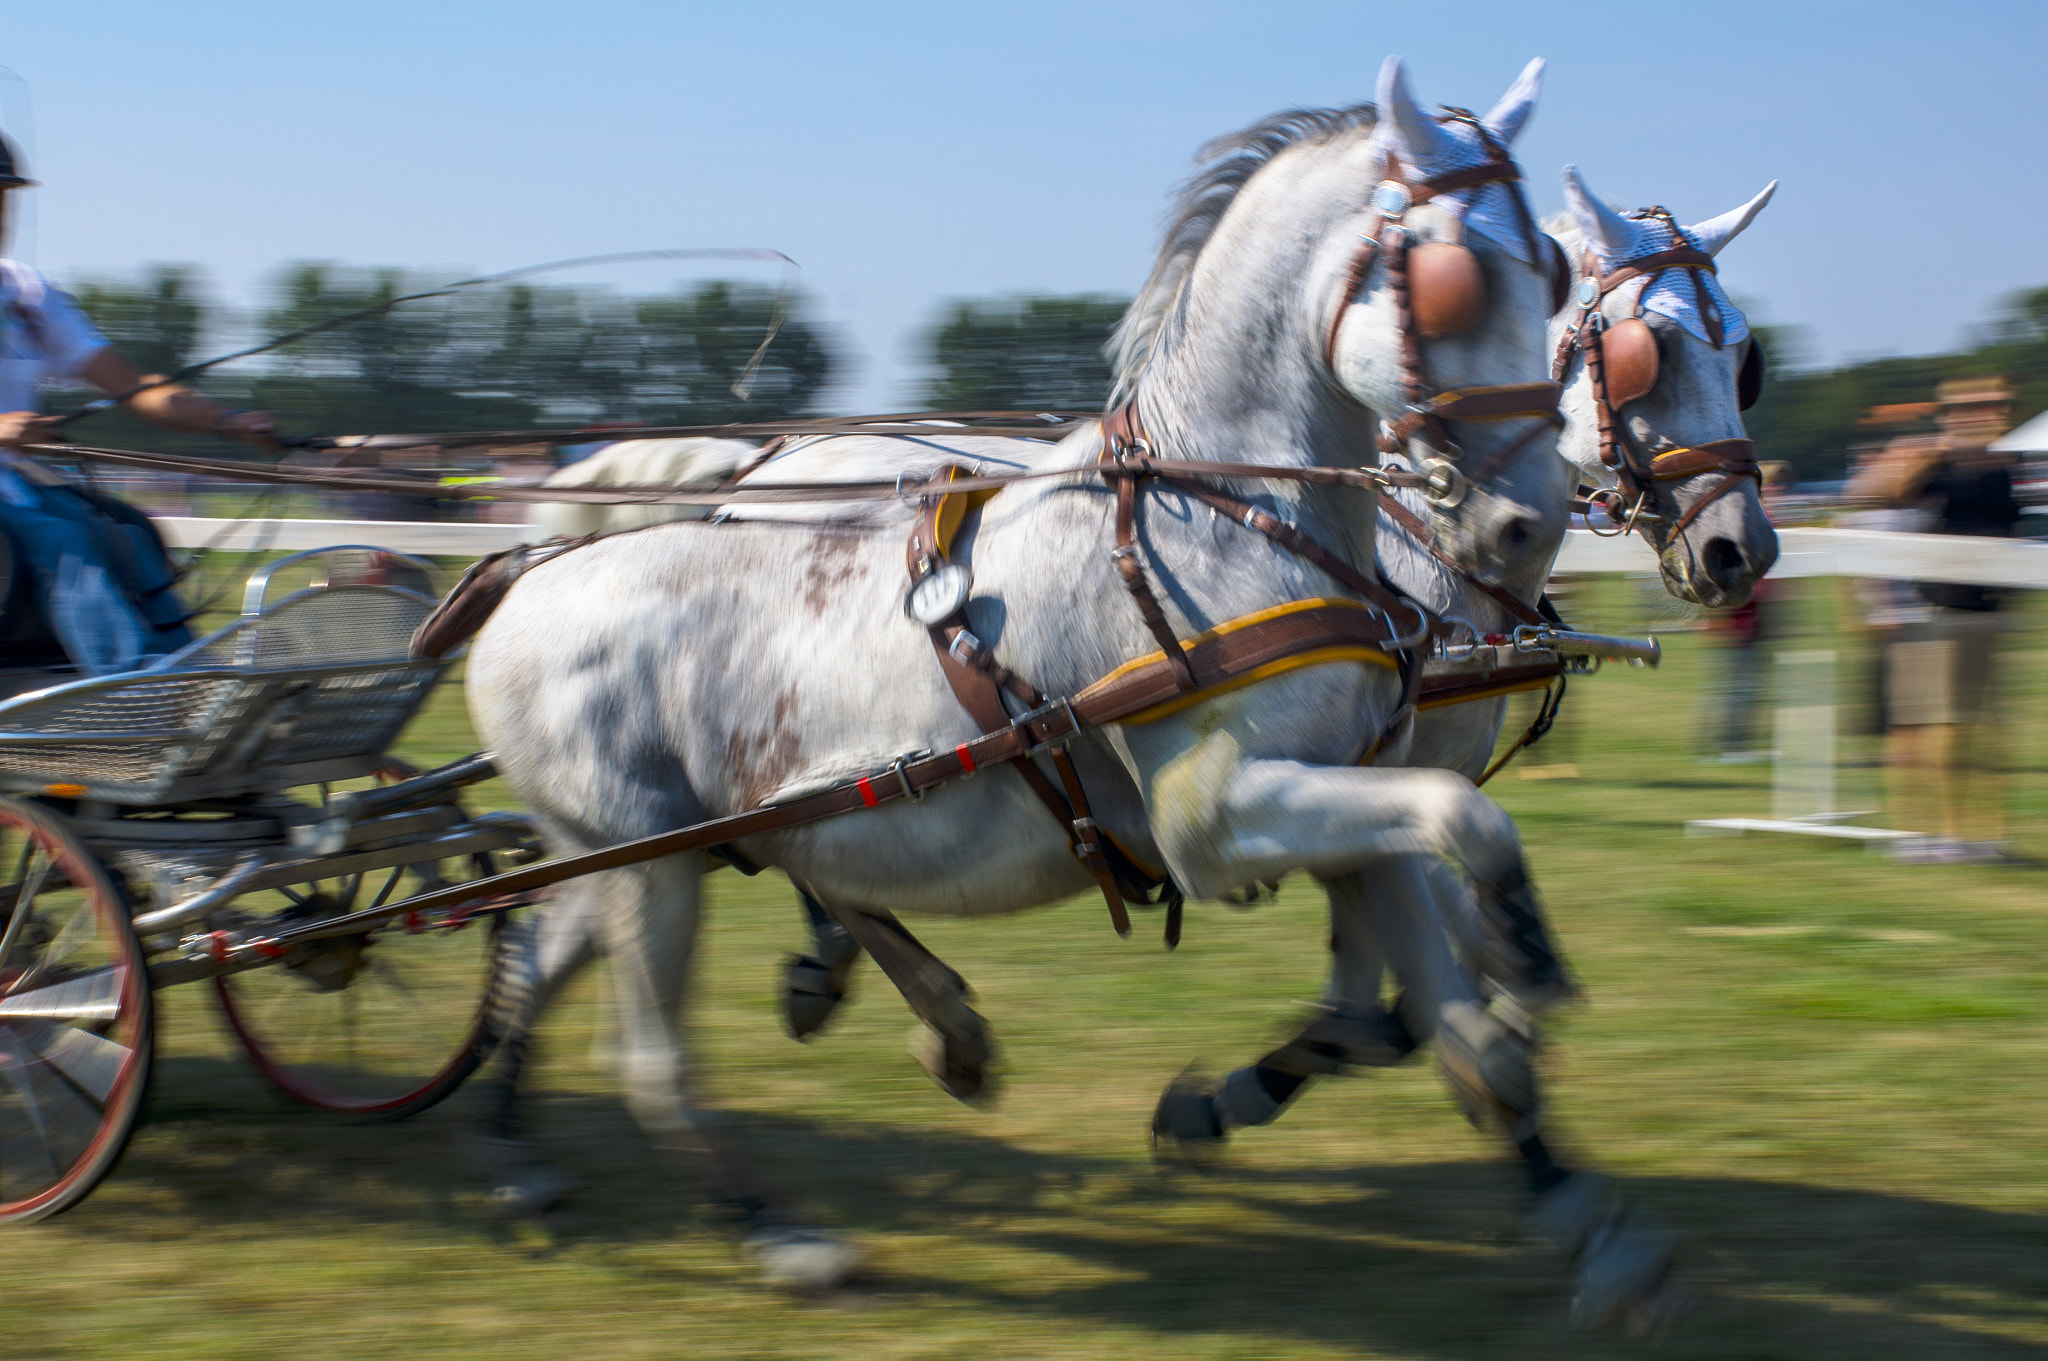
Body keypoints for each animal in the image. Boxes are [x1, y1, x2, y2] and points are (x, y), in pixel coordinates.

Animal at [468, 61, 1679, 1326]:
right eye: (1451, 276)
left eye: (1550, 275)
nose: (1525, 522)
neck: (1225, 521)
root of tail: (527, 575)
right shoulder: (1214, 820)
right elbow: (1471, 829)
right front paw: (1526, 949)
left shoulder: (1359, 802)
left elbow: (1462, 1038)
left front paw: (1593, 1231)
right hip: (644, 861)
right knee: (649, 1055)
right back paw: (784, 1231)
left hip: (655, 848)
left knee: (554, 953)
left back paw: (530, 1148)